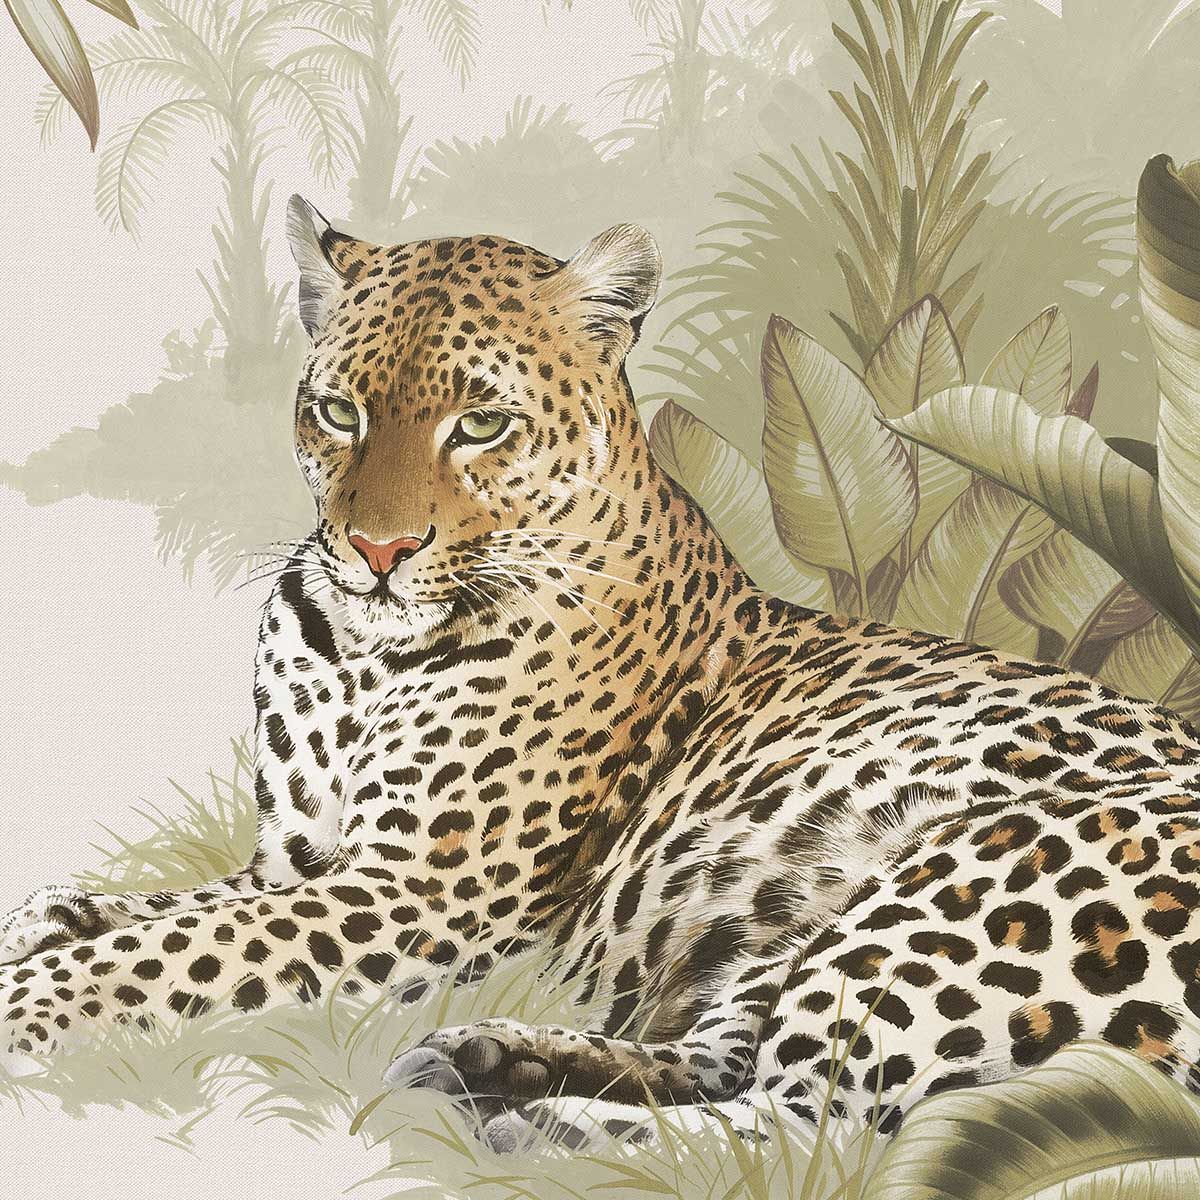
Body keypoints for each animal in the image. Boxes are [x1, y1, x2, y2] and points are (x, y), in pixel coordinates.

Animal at [5, 196, 1200, 1152]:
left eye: (480, 424)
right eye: (338, 411)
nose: (379, 551)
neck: (360, 651)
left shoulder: (419, 894)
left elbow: (174, 950)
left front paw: (27, 994)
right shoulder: (298, 862)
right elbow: (169, 911)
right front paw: (51, 911)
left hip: (955, 887)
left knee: (810, 1127)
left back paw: (541, 1121)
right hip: (793, 922)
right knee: (730, 1063)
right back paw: (489, 1062)